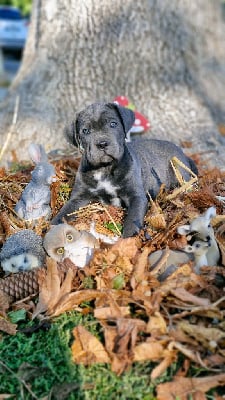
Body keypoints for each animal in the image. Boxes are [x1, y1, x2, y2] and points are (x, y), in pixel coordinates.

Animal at [52, 102, 197, 238]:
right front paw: (53, 227)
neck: (105, 168)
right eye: (85, 131)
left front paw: (128, 237)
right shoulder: (78, 198)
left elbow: (133, 218)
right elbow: (64, 211)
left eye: (113, 124)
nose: (102, 144)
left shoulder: (136, 196)